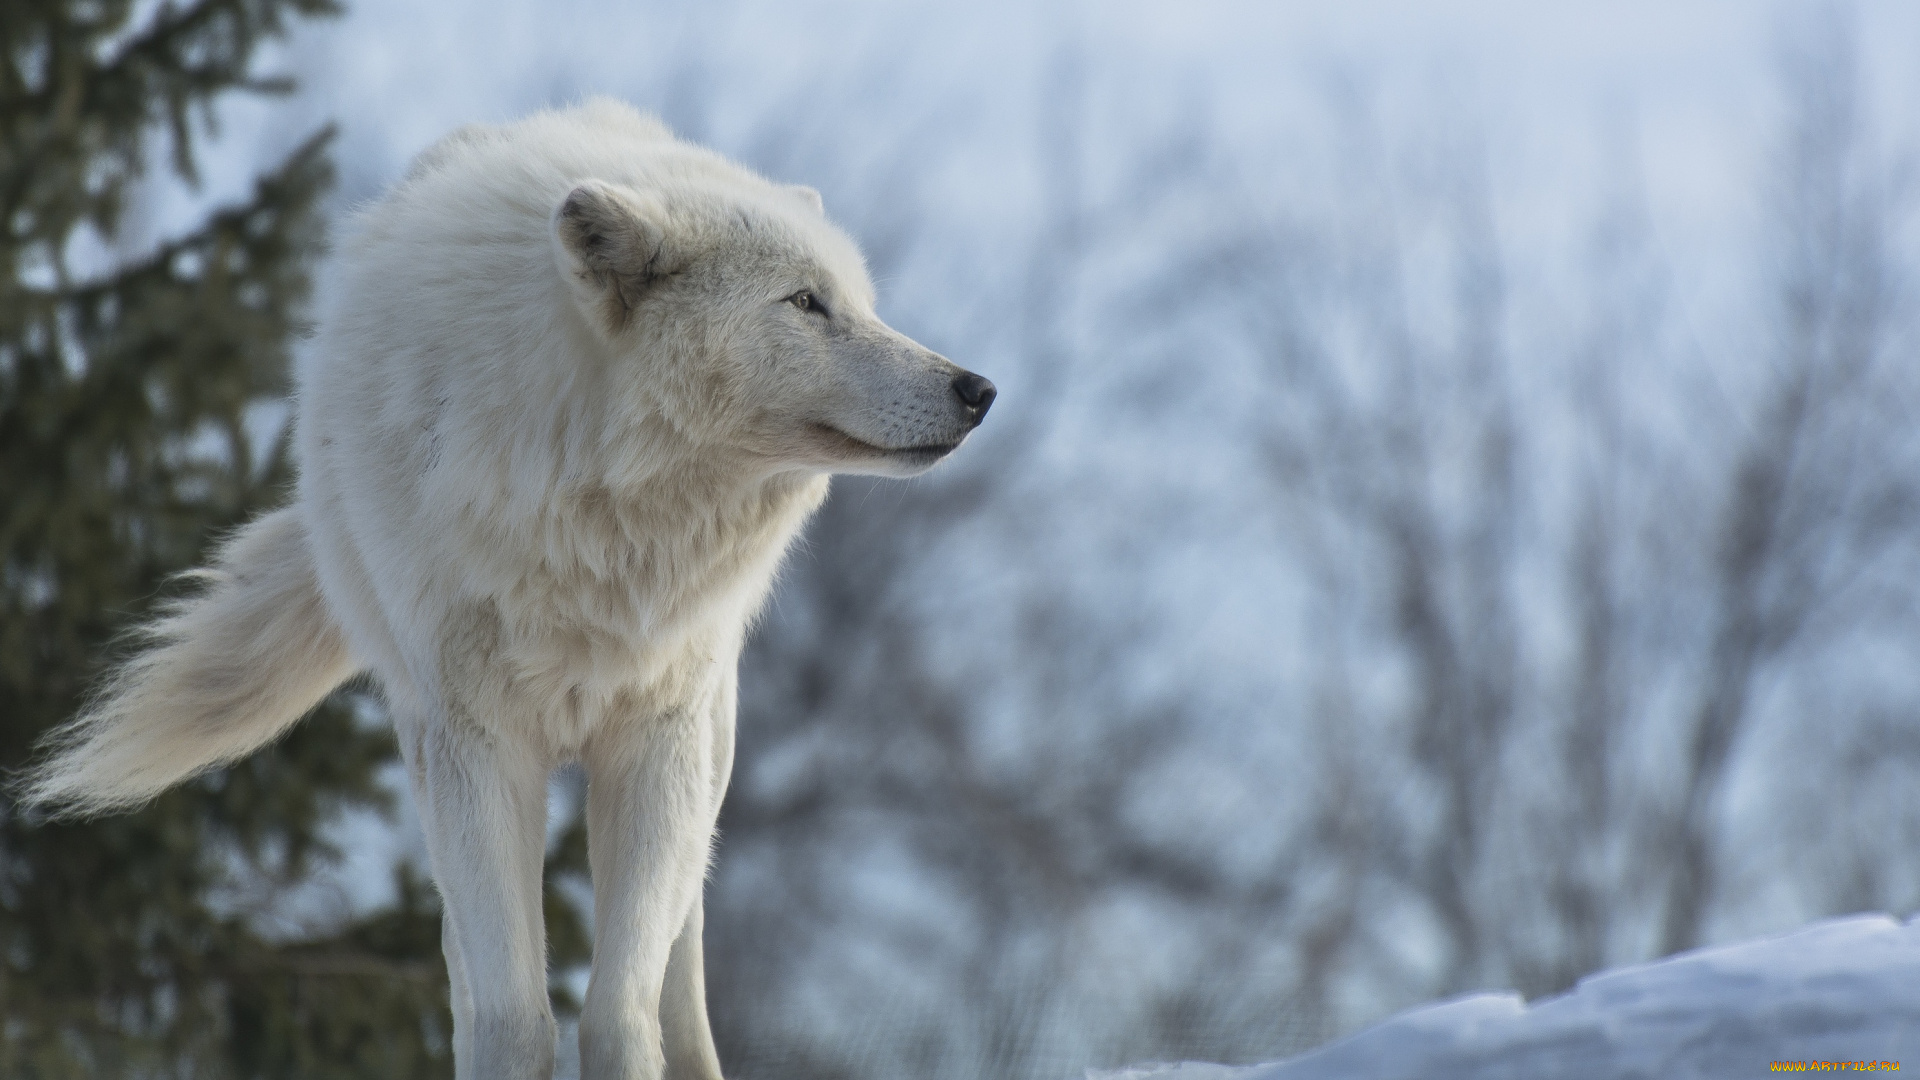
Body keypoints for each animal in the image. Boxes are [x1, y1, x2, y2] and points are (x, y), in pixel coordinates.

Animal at [18, 100, 990, 1076]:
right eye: (805, 302)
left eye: (859, 302)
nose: (977, 387)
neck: (597, 509)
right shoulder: (476, 745)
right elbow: (512, 1014)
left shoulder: (657, 739)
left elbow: (621, 1011)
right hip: (431, 761)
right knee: (463, 961)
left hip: (706, 750)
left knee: (681, 954)